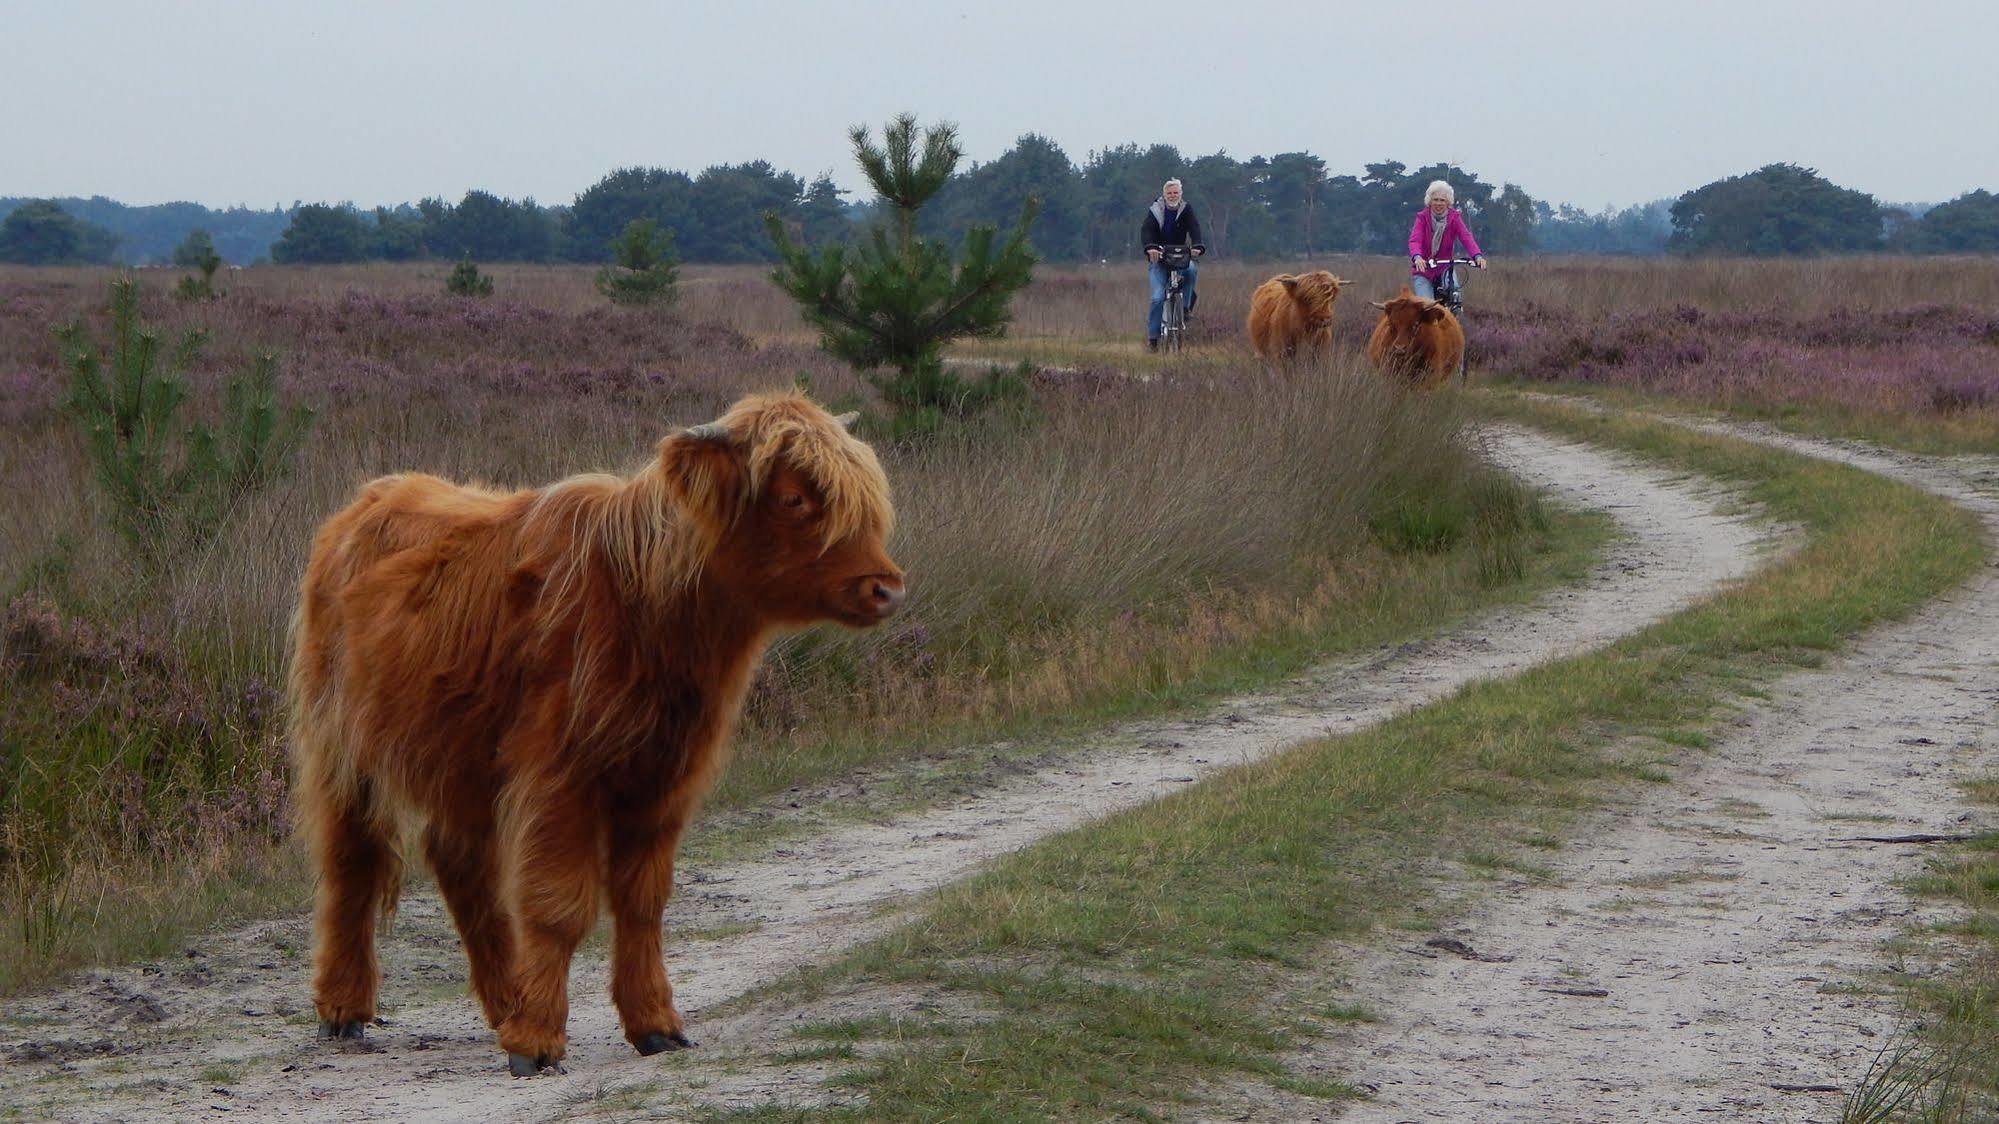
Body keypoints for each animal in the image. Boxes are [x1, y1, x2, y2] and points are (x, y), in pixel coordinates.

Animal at [285, 390, 903, 1072]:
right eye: (794, 498)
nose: (886, 587)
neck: (649, 609)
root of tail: (368, 499)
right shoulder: (561, 775)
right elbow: (558, 905)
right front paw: (536, 1041)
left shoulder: (663, 778)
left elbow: (642, 902)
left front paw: (654, 1024)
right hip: (342, 745)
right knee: (351, 861)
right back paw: (345, 1009)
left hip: (460, 750)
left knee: (459, 863)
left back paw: (506, 1001)